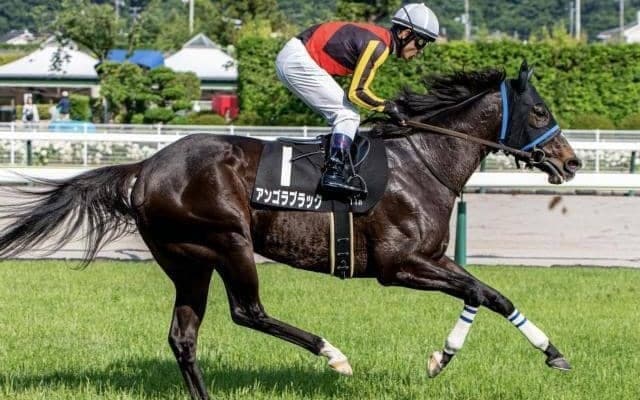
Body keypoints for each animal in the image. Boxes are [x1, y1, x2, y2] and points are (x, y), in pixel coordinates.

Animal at [0, 62, 581, 400]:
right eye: (539, 111)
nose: (572, 162)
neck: (422, 160)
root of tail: (144, 168)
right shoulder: (400, 265)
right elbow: (481, 293)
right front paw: (447, 358)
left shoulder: (432, 259)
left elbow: (490, 294)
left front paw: (544, 353)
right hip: (227, 241)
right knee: (248, 311)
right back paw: (333, 354)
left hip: (187, 260)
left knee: (183, 338)